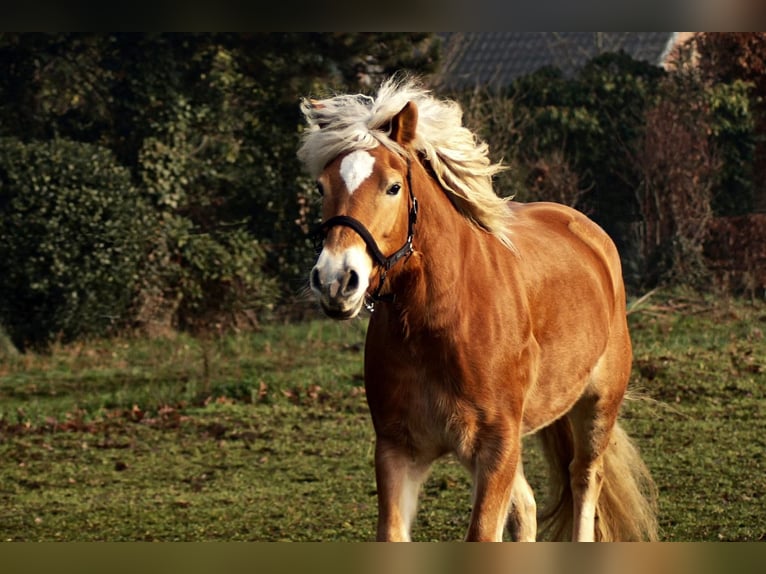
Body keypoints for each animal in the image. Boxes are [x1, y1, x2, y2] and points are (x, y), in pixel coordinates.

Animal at [300, 77, 660, 544]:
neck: (440, 322)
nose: (335, 280)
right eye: (322, 187)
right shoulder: (398, 451)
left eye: (392, 187)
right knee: (527, 506)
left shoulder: (495, 448)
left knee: (584, 480)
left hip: (597, 407)